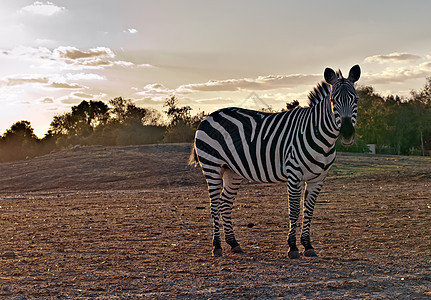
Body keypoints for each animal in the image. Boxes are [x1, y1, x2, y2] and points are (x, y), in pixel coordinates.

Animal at [191, 63, 362, 258]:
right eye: (333, 101)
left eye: (356, 99)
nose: (347, 134)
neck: (321, 137)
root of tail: (209, 116)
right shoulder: (294, 174)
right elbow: (294, 210)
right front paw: (293, 247)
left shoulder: (318, 179)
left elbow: (309, 211)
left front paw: (308, 245)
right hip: (212, 166)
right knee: (215, 205)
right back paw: (217, 247)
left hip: (232, 170)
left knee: (225, 204)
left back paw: (233, 243)